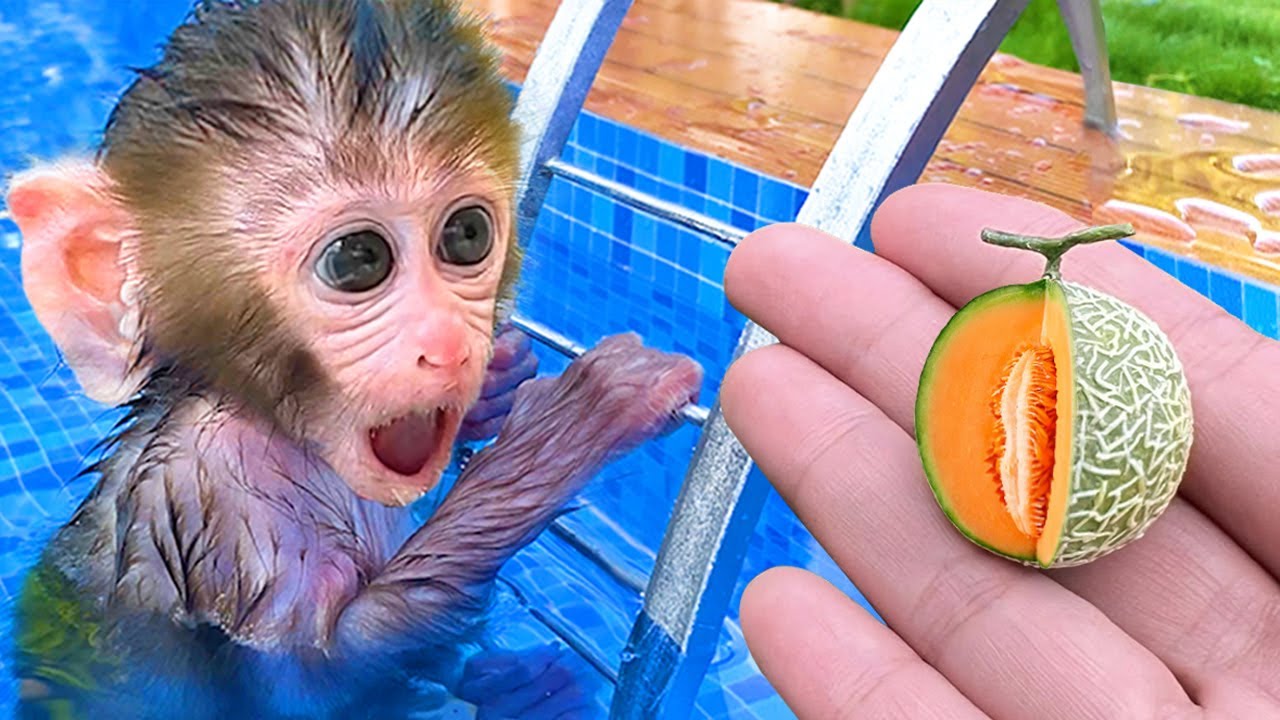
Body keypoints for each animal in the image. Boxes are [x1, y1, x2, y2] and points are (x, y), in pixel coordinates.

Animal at [3, 1, 703, 718]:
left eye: (467, 234)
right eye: (357, 260)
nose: (450, 344)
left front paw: (501, 383)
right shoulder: (224, 504)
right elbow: (317, 677)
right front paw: (567, 428)